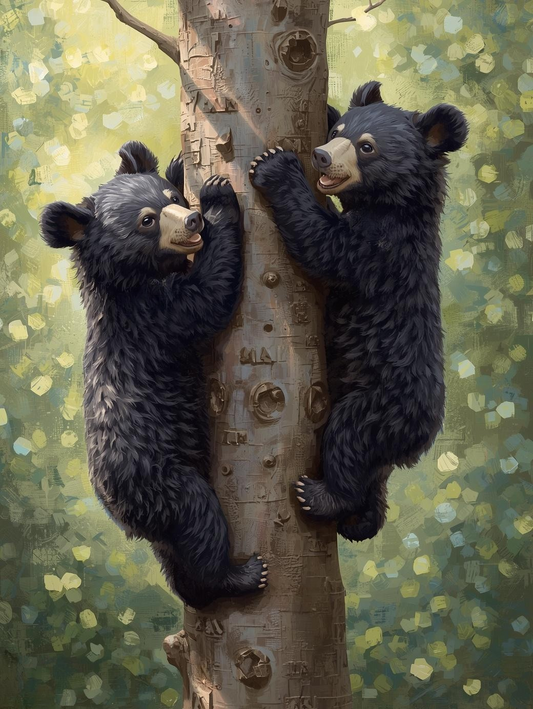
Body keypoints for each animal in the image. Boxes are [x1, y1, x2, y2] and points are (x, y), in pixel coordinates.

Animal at [40, 141, 268, 608]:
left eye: (172, 198)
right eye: (146, 220)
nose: (193, 220)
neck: (131, 281)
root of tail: (122, 516)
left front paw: (181, 165)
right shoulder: (154, 317)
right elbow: (208, 296)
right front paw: (219, 195)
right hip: (161, 479)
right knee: (199, 521)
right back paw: (239, 575)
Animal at [249, 82, 468, 542]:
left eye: (366, 147)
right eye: (338, 131)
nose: (320, 155)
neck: (395, 204)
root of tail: (421, 440)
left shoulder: (380, 249)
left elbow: (322, 244)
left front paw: (274, 165)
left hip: (382, 402)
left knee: (348, 437)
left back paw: (323, 496)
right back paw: (361, 518)